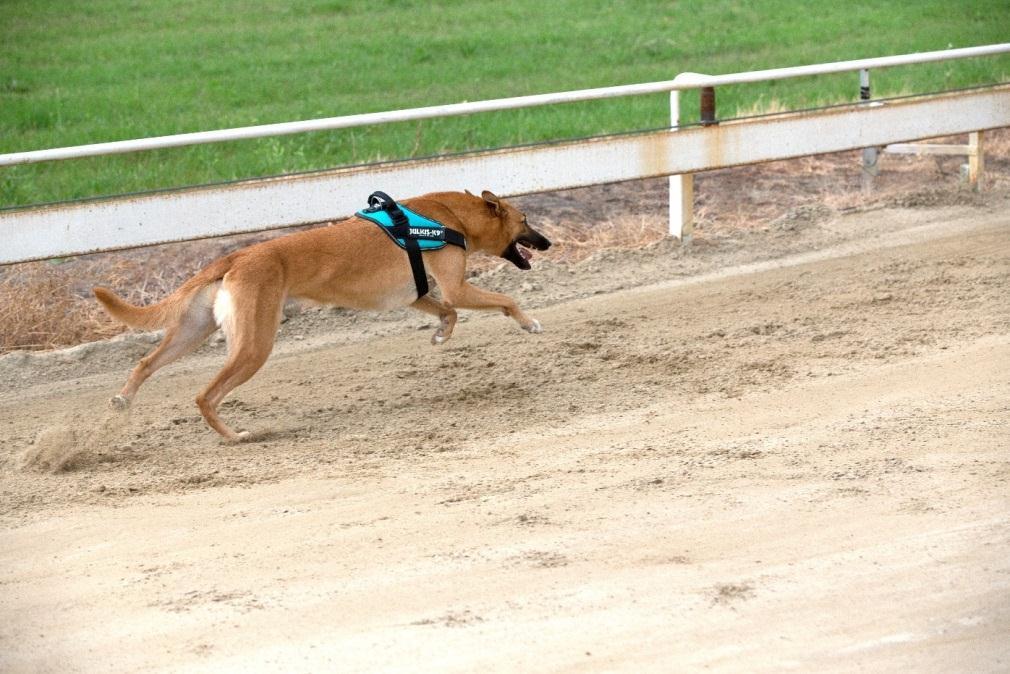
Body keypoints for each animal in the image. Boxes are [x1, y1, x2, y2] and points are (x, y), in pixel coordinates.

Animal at [92, 189, 553, 442]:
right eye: (525, 219)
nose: (548, 243)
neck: (450, 216)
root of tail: (236, 256)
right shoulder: (456, 286)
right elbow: (502, 301)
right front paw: (530, 323)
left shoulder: (414, 295)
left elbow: (448, 313)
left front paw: (441, 334)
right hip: (254, 345)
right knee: (205, 395)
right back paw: (234, 436)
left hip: (194, 329)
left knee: (145, 362)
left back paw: (122, 399)